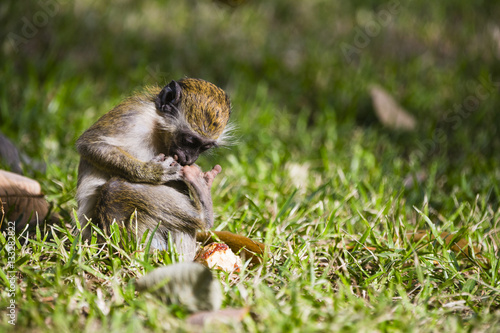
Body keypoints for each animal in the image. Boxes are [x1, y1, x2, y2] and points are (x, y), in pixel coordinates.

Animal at [75, 78, 231, 260]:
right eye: (189, 141)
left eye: (204, 147)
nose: (189, 159)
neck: (157, 128)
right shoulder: (132, 115)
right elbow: (90, 145)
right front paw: (152, 172)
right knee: (113, 189)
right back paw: (202, 213)